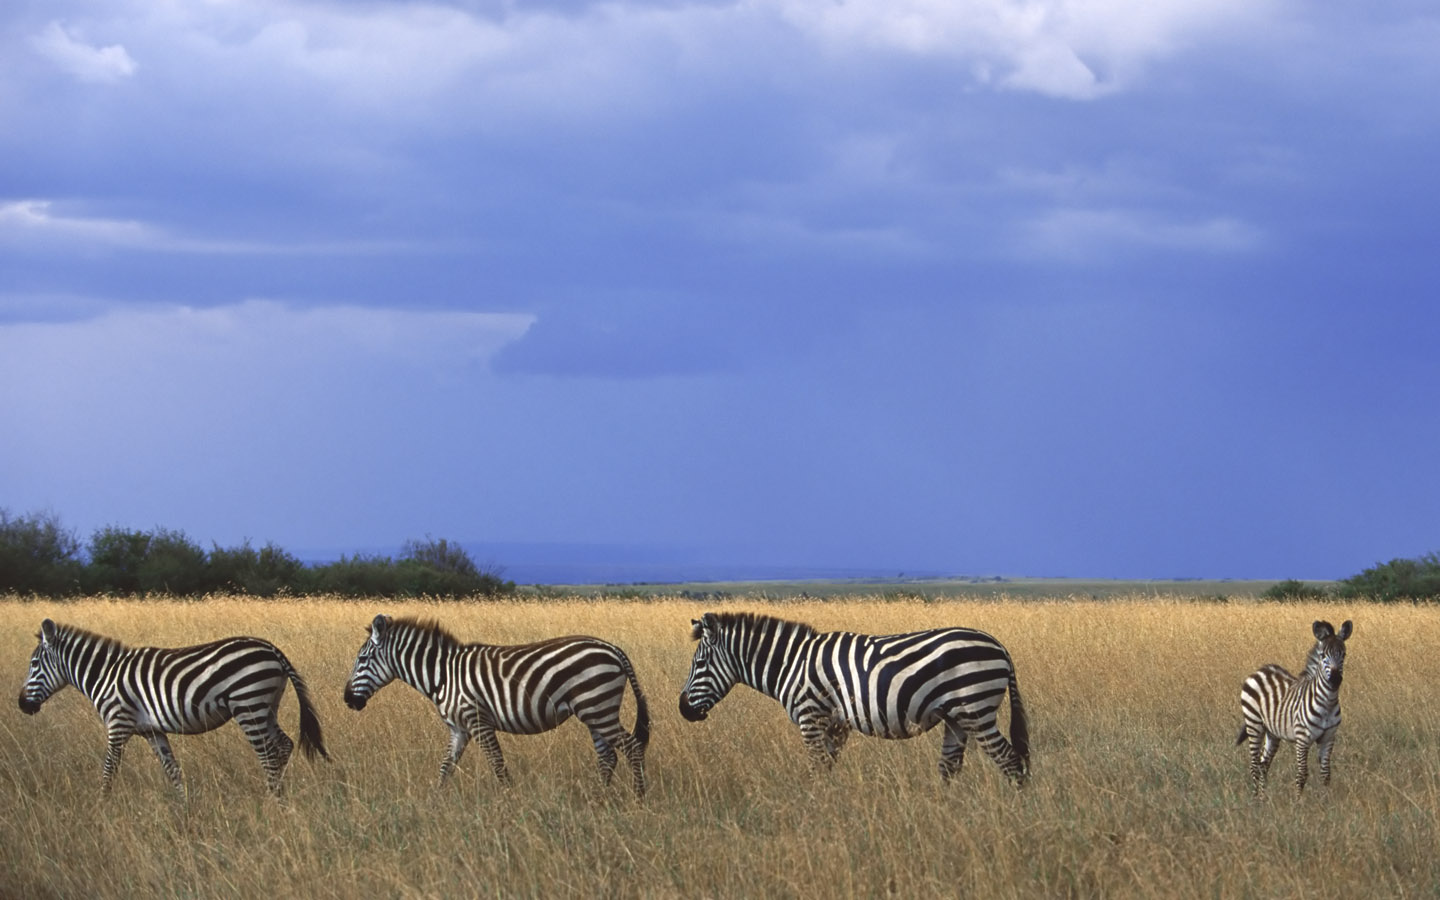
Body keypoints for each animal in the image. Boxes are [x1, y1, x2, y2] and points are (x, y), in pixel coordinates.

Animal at [15, 616, 329, 794]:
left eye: (33, 664)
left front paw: (102, 804)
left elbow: (108, 770)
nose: (21, 705)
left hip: (248, 703)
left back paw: (272, 799)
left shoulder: (118, 724)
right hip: (267, 706)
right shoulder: (152, 731)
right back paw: (282, 797)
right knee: (284, 746)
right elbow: (172, 770)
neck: (105, 674)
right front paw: (184, 806)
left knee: (268, 754)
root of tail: (272, 650)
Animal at [342, 613, 653, 794]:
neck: (442, 676)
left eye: (362, 659)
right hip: (594, 711)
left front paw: (508, 800)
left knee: (632, 748)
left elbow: (497, 763)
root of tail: (612, 648)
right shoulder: (459, 729)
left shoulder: (478, 720)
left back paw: (638, 798)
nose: (347, 700)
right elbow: (445, 767)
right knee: (608, 757)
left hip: (598, 707)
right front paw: (435, 802)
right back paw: (600, 800)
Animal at [679, 607, 1031, 783]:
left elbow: (817, 771)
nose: (682, 709)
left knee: (1011, 761)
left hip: (976, 710)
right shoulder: (835, 724)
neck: (793, 663)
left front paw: (817, 815)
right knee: (950, 767)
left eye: (698, 664)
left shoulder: (811, 717)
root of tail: (1000, 646)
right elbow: (827, 769)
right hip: (957, 717)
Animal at [1238, 616, 1347, 794]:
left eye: (1343, 654)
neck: (1328, 703)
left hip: (1272, 731)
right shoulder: (1302, 738)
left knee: (1263, 765)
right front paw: (1299, 800)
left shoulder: (1329, 737)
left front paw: (1327, 799)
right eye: (1323, 655)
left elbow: (1326, 774)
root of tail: (1260, 670)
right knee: (1254, 766)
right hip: (1254, 723)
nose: (1335, 679)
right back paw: (1254, 798)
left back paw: (1263, 798)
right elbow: (1302, 774)